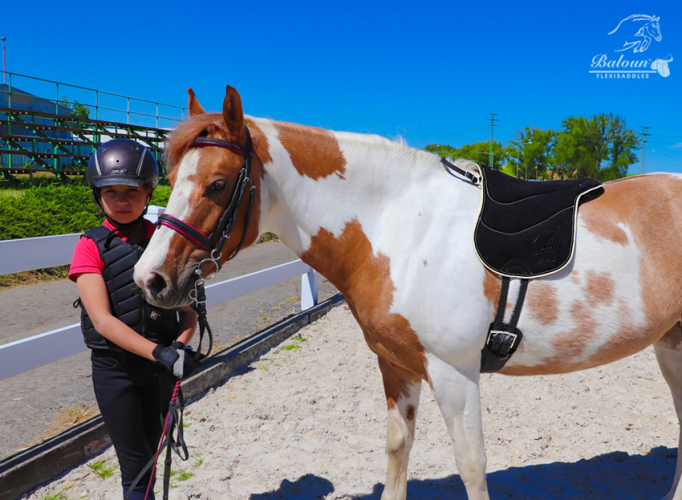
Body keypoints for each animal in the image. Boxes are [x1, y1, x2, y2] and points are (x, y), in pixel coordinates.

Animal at [133, 84, 680, 498]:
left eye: (218, 184)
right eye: (170, 177)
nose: (149, 279)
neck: (401, 224)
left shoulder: (455, 373)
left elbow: (471, 465)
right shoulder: (397, 366)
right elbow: (398, 448)